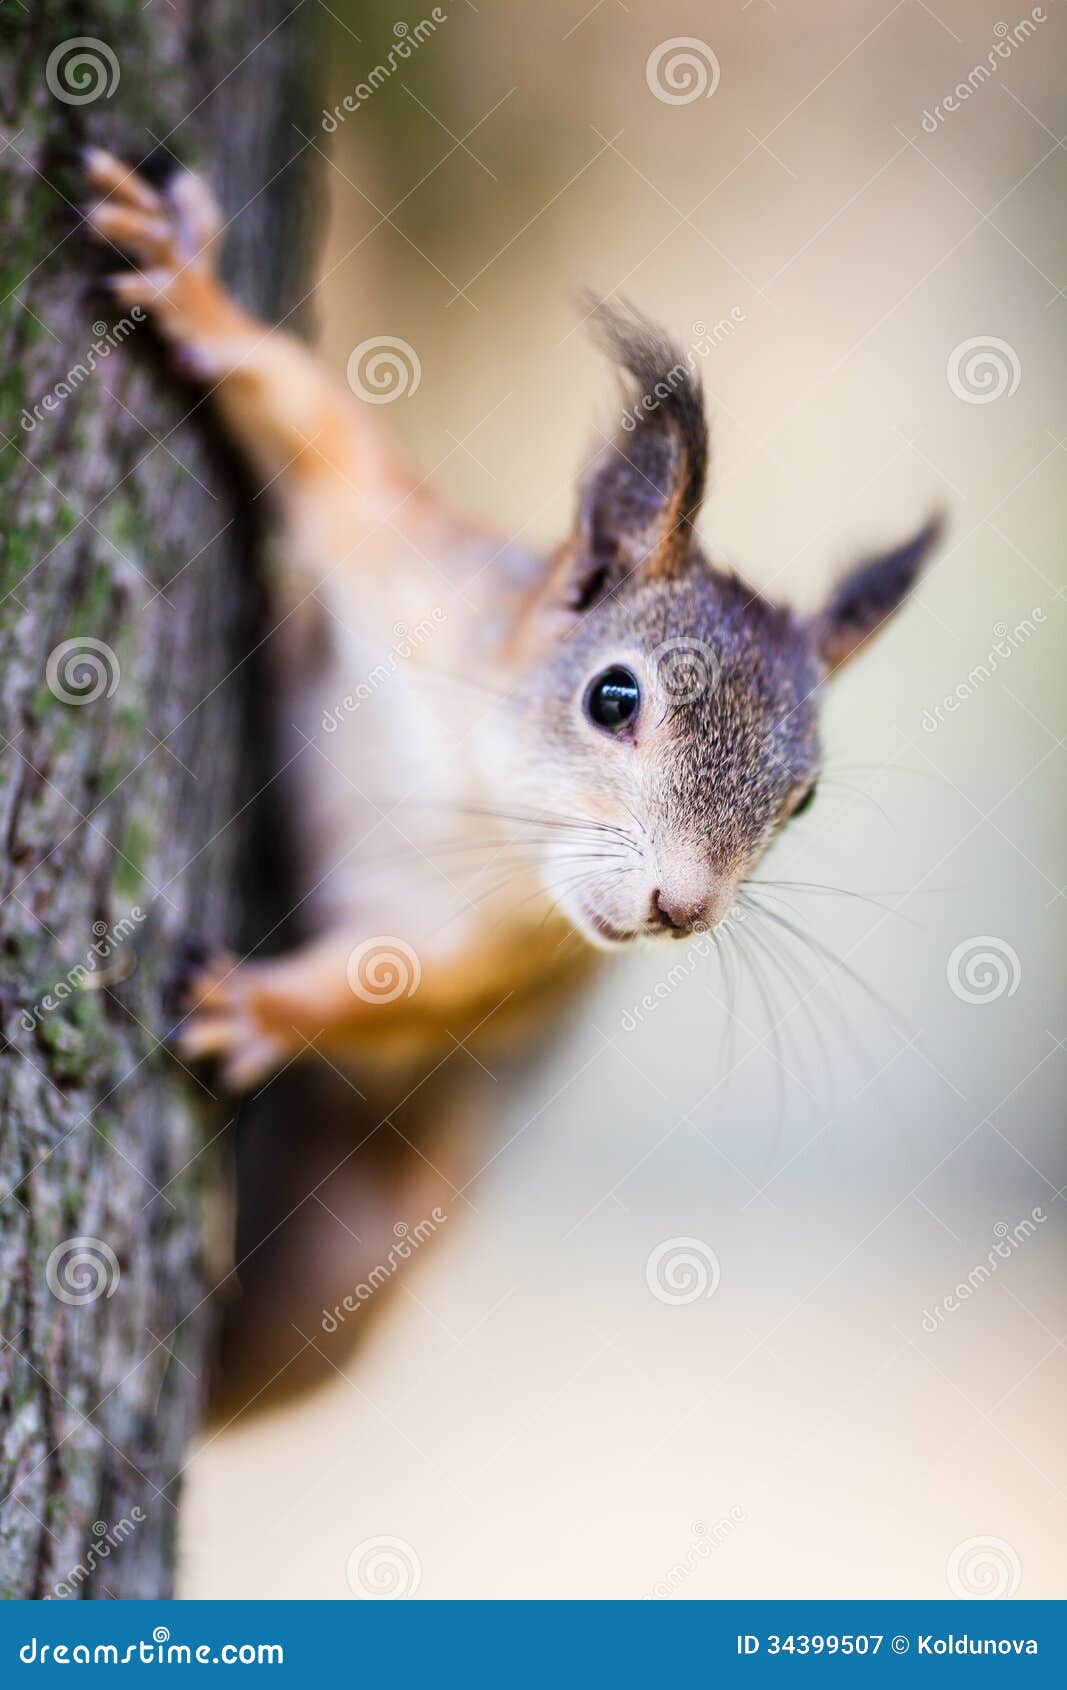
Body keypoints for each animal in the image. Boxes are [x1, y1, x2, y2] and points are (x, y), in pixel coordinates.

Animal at [85, 148, 940, 1095]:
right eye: (612, 698)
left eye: (805, 798)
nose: (682, 910)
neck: (478, 793)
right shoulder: (412, 578)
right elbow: (326, 442)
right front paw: (189, 285)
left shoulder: (505, 955)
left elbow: (393, 997)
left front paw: (251, 1008)